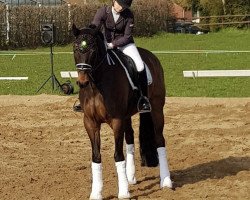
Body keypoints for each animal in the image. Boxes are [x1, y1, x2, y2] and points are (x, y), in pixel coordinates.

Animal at [72, 24, 173, 199]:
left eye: (93, 50)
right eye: (76, 49)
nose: (82, 82)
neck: (96, 86)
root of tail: (151, 57)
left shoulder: (116, 120)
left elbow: (118, 155)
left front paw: (124, 192)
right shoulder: (90, 122)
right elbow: (96, 156)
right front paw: (96, 193)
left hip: (157, 109)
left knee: (160, 140)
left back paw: (166, 181)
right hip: (127, 116)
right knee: (130, 139)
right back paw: (131, 177)